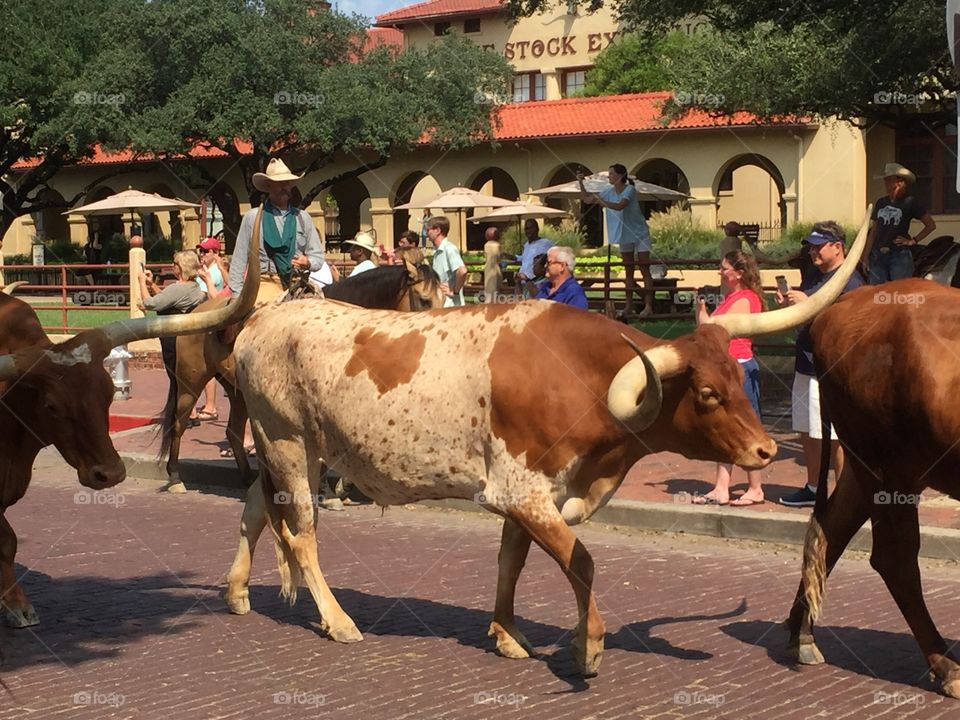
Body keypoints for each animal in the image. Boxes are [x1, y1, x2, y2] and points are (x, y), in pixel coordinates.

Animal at [160, 260, 445, 486]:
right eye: (424, 298)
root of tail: (199, 311)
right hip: (190, 381)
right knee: (179, 423)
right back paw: (174, 476)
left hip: (236, 390)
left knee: (233, 431)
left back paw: (247, 477)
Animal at [222, 214, 868, 677]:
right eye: (707, 394)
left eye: (738, 378)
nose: (765, 452)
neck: (582, 377)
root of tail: (259, 322)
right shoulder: (524, 490)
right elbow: (579, 560)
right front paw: (588, 647)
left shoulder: (531, 496)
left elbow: (513, 560)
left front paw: (507, 635)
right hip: (288, 444)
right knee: (301, 532)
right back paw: (337, 620)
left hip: (290, 449)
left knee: (255, 507)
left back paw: (237, 593)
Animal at [786, 277, 960, 698]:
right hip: (888, 469)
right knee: (894, 559)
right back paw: (948, 666)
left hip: (864, 465)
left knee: (830, 532)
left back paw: (802, 636)